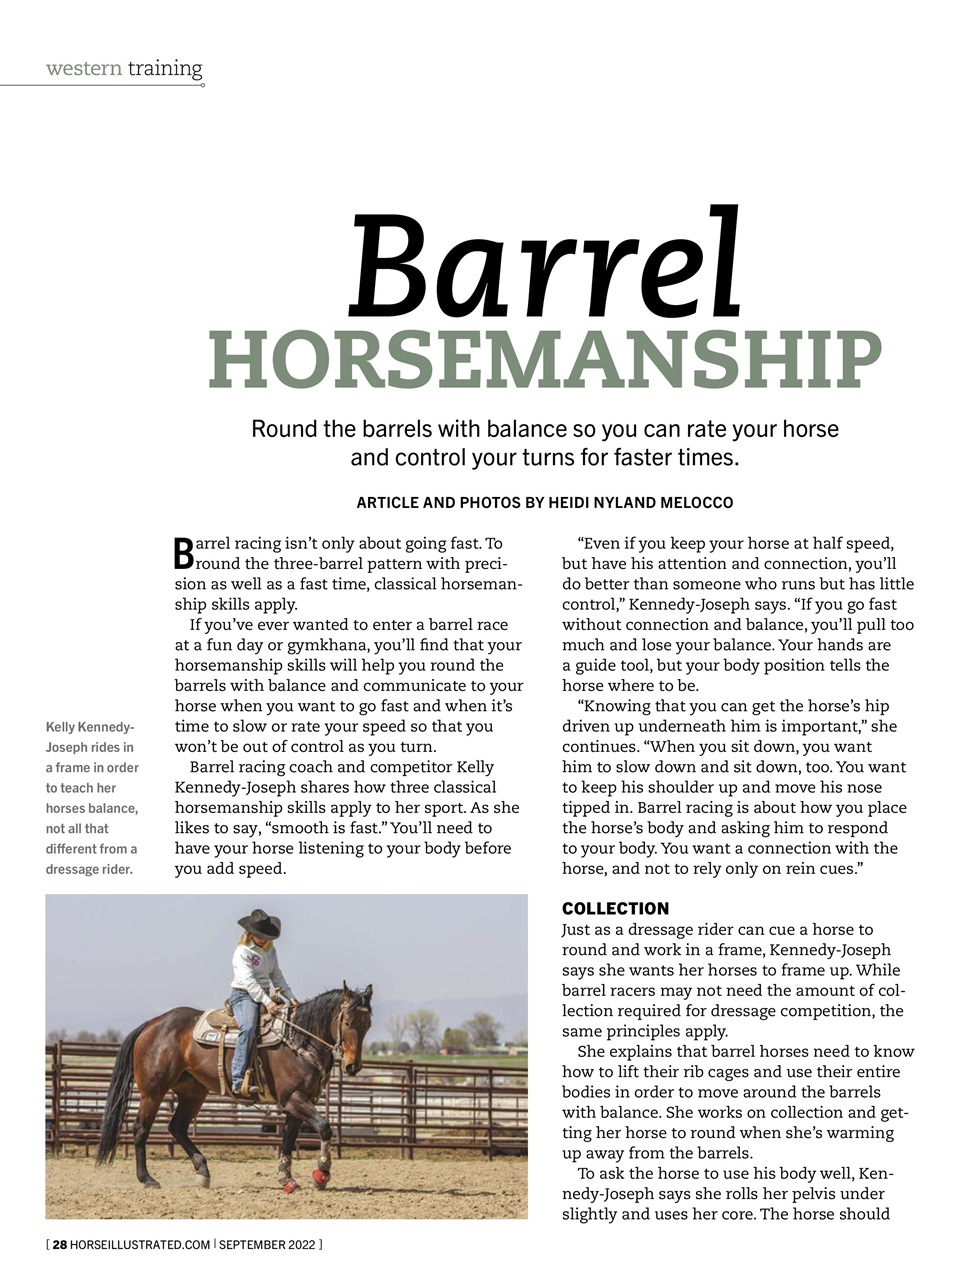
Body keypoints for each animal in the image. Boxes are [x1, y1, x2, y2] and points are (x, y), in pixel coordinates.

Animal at [96, 982, 372, 1193]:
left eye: (367, 1024)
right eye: (347, 1022)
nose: (352, 1066)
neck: (298, 1040)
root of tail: (151, 1024)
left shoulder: (298, 1103)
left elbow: (287, 1139)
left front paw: (287, 1179)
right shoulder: (293, 1098)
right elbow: (324, 1128)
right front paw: (321, 1175)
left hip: (193, 1093)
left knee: (177, 1127)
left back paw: (203, 1171)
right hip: (152, 1092)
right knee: (141, 1129)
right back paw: (147, 1179)